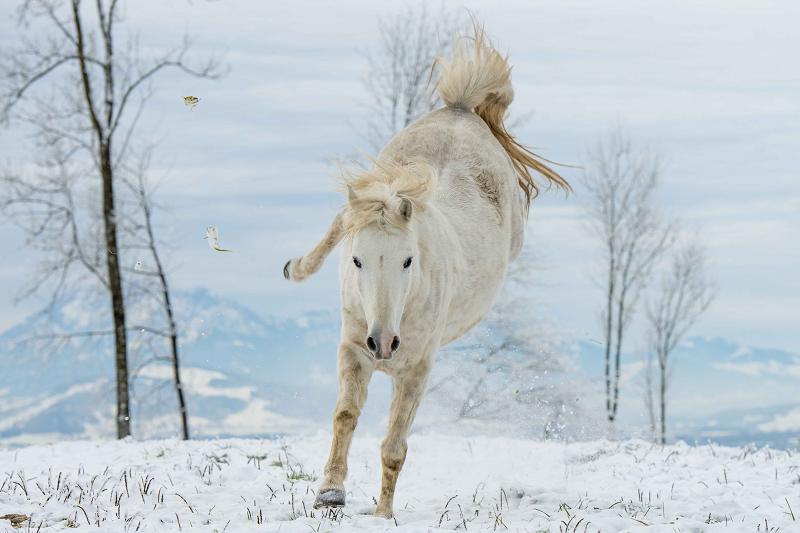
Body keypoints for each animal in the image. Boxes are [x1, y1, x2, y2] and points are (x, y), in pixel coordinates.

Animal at [282, 24, 569, 519]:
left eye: (408, 260)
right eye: (356, 260)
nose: (382, 344)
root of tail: (461, 109)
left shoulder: (416, 370)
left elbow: (394, 448)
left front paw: (382, 515)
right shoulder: (351, 350)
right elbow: (345, 416)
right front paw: (330, 494)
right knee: (345, 214)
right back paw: (296, 267)